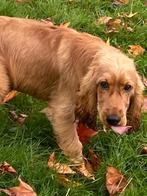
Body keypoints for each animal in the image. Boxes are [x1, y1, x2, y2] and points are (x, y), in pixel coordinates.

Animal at [0, 16, 144, 163]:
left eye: (128, 87)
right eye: (103, 84)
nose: (113, 120)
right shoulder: (63, 111)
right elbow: (74, 144)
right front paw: (80, 166)